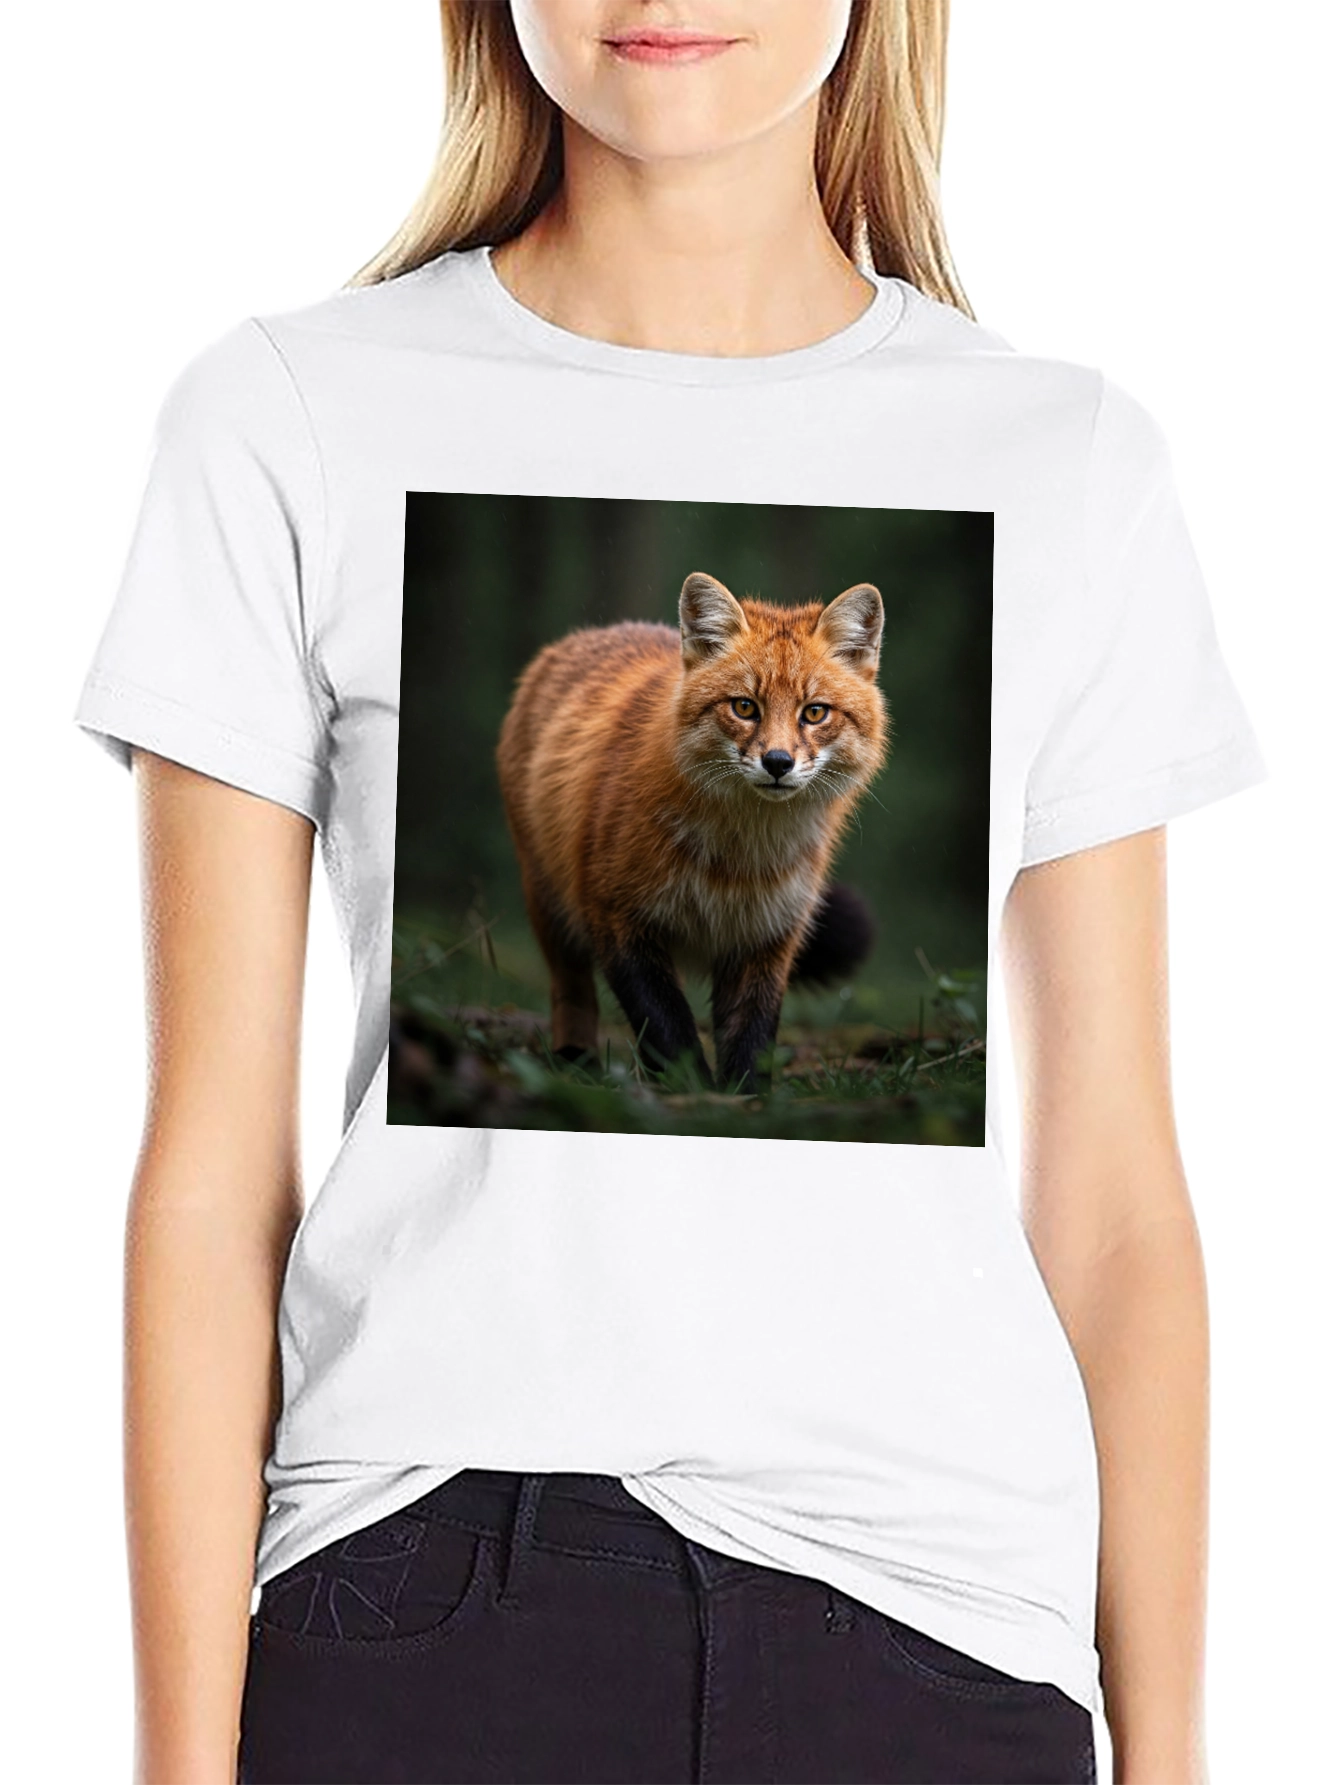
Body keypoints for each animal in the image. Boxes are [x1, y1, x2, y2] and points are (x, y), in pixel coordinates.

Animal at [495, 571, 889, 1094]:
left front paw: (747, 1100)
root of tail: (591, 634)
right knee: (571, 992)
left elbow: (752, 1037)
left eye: (814, 713)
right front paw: (694, 1094)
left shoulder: (768, 934)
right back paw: (574, 1060)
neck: (735, 865)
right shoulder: (616, 917)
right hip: (550, 905)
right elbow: (668, 1028)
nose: (778, 763)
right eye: (744, 707)